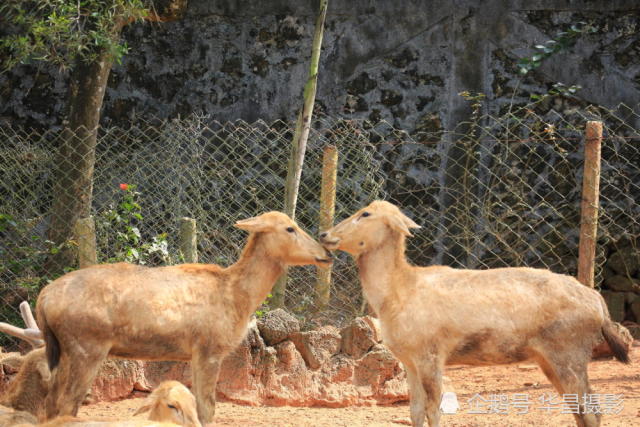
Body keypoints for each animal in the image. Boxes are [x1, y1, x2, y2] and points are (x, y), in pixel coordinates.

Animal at [35, 212, 332, 426]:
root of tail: (44, 299)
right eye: (290, 228)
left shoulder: (195, 354)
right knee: (66, 404)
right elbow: (207, 409)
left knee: (50, 402)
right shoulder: (209, 349)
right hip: (87, 347)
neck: (240, 297)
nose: (326, 253)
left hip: (62, 350)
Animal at [320, 201, 632, 427]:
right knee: (580, 409)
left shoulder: (431, 353)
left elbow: (434, 410)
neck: (396, 294)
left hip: (569, 351)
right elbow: (415, 411)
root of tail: (599, 304)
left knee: (591, 410)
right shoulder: (408, 359)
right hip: (551, 357)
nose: (325, 235)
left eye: (366, 213)